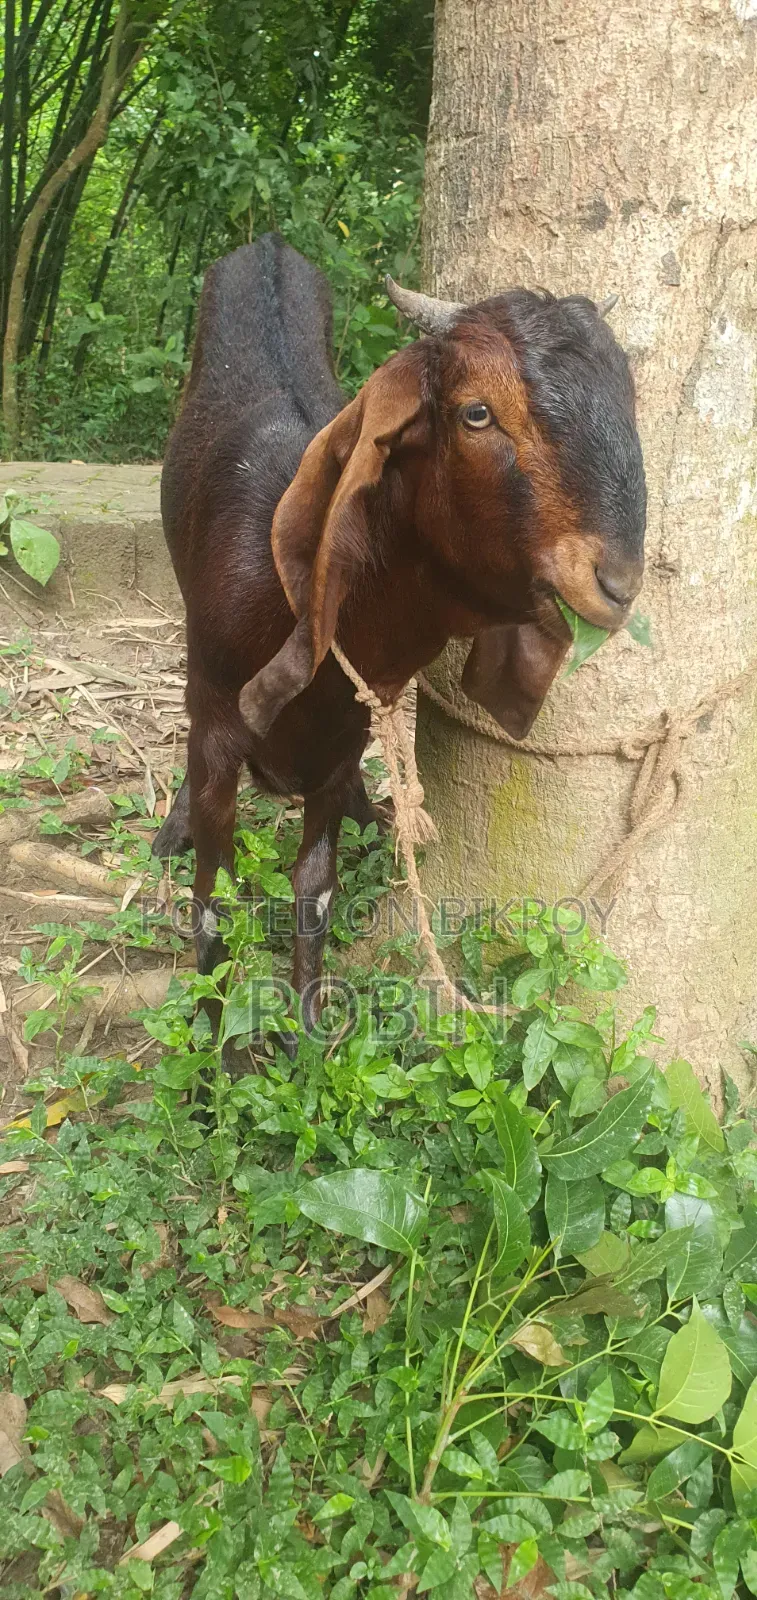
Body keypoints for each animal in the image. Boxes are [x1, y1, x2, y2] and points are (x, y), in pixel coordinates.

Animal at [153, 232, 646, 1032]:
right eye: (476, 413)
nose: (617, 582)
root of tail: (269, 243)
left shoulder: (341, 738)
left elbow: (314, 889)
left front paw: (309, 1034)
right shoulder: (221, 726)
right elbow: (213, 905)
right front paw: (215, 1052)